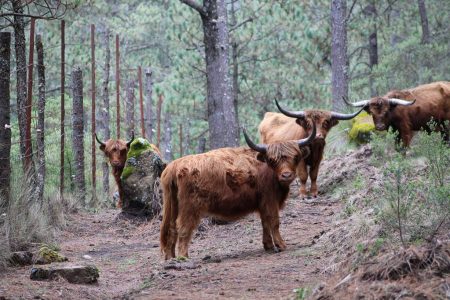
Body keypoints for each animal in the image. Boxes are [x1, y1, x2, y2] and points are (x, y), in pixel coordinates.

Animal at [159, 123, 316, 258]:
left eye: (295, 157)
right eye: (272, 160)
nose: (286, 175)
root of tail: (174, 166)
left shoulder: (262, 203)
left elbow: (265, 222)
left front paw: (268, 245)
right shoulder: (270, 200)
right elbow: (274, 221)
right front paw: (281, 245)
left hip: (173, 205)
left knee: (171, 229)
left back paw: (170, 258)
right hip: (189, 207)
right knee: (183, 228)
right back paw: (183, 257)